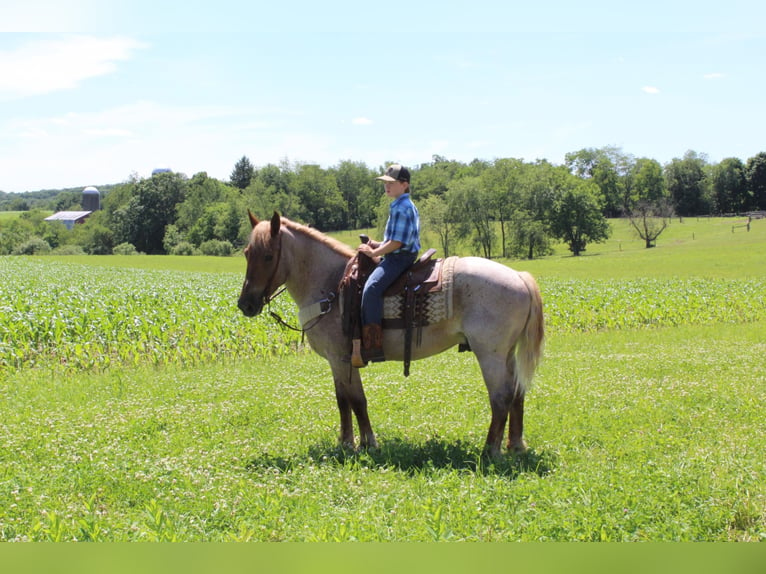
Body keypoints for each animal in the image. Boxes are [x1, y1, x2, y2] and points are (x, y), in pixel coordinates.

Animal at [237, 213, 544, 460]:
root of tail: (519, 276)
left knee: (501, 397)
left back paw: (490, 450)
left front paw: (367, 444)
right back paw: (515, 446)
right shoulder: (338, 361)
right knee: (517, 393)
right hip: (507, 354)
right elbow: (343, 400)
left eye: (268, 256)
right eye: (247, 253)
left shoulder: (341, 358)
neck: (329, 284)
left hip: (490, 354)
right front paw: (347, 443)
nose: (245, 305)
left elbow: (356, 401)